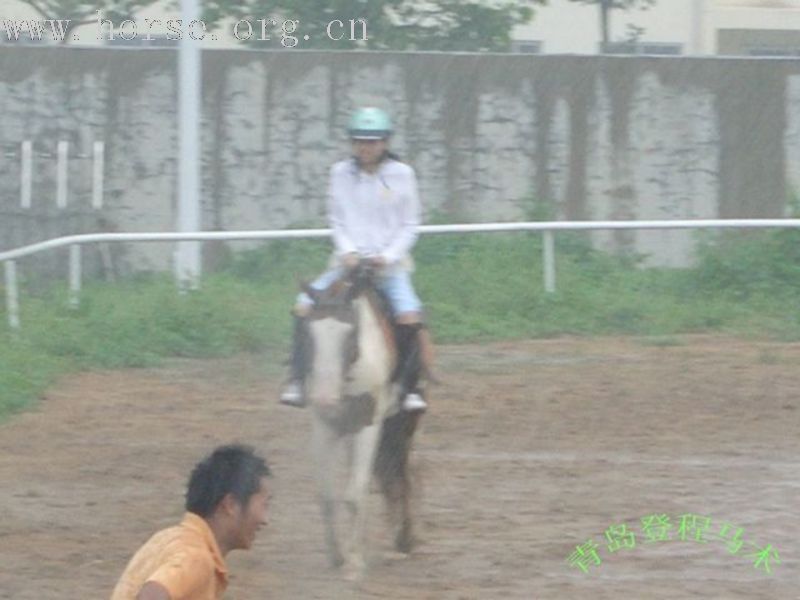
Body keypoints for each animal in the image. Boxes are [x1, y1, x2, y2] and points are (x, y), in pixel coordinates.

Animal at [300, 264, 424, 580]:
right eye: (310, 334)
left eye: (349, 333)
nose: (324, 398)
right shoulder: (324, 427)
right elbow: (327, 495)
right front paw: (337, 556)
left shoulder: (368, 427)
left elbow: (355, 495)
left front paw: (354, 564)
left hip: (400, 427)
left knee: (401, 477)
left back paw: (403, 541)